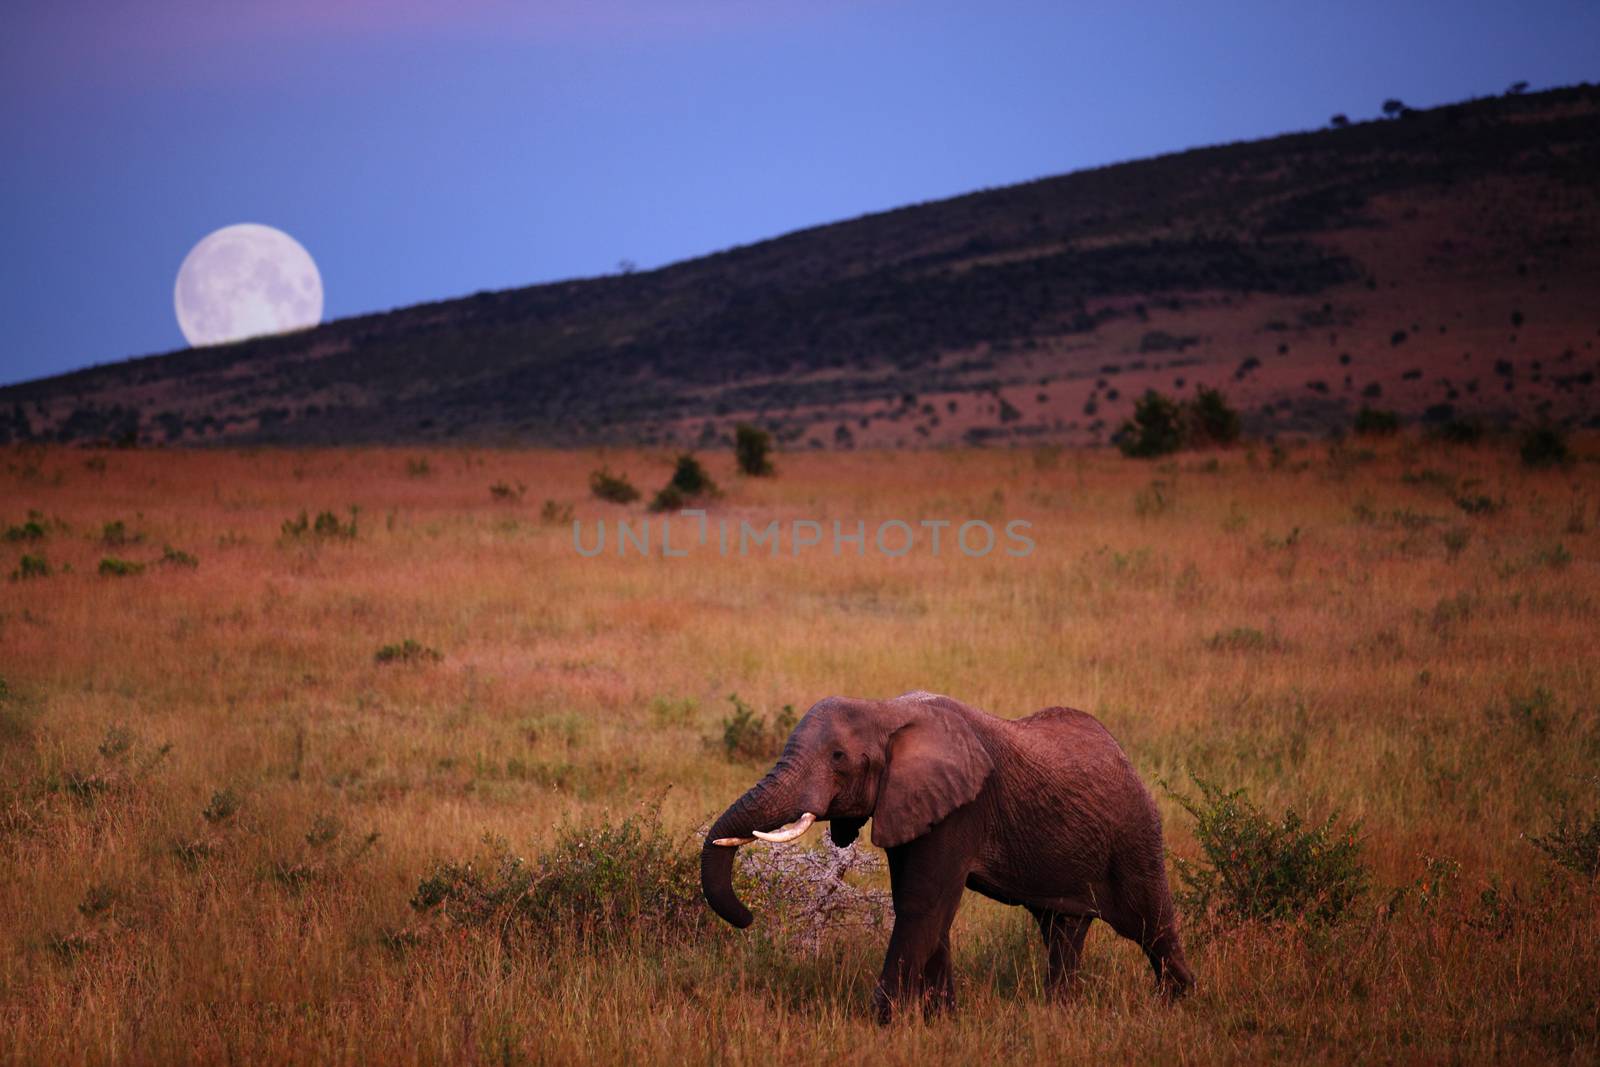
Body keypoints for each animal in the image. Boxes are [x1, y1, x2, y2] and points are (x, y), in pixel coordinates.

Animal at [700, 687, 1190, 1023]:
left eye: (838, 756)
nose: (746, 917)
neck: (887, 710)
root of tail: (1123, 755)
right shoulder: (913, 805)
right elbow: (924, 906)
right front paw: (943, 1021)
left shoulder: (962, 808)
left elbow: (924, 904)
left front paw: (880, 1023)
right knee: (1063, 929)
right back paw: (1059, 1011)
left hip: (1134, 834)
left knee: (1150, 923)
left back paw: (1177, 1004)